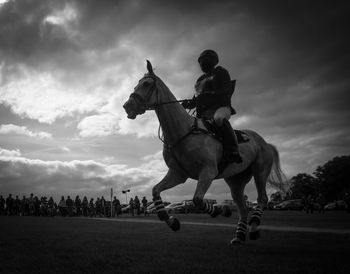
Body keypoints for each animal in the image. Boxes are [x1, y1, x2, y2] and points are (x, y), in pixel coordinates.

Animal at [121, 60, 286, 244]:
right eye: (136, 85)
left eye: (147, 84)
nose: (128, 106)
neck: (184, 131)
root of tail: (264, 142)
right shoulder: (178, 174)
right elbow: (156, 190)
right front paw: (172, 221)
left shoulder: (208, 171)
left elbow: (197, 200)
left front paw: (221, 210)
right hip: (235, 180)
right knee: (242, 207)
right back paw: (239, 236)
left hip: (260, 171)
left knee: (262, 198)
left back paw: (254, 227)